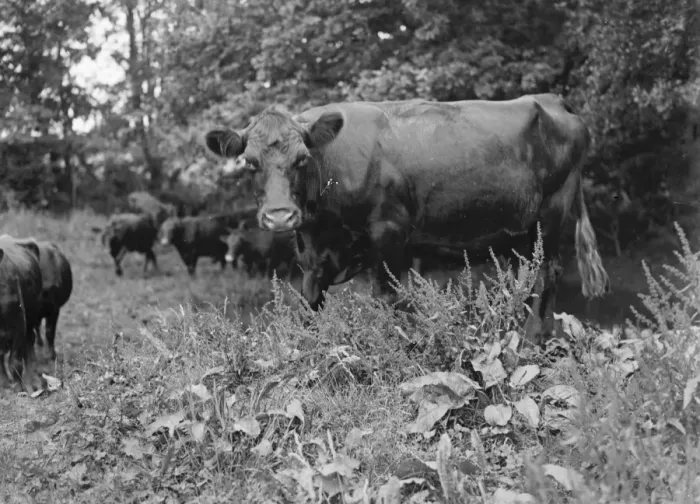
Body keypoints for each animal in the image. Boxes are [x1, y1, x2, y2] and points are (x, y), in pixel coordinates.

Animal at [0, 236, 43, 393]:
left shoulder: (19, 324)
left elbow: (15, 361)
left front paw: (19, 388)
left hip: (31, 316)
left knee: (29, 342)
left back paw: (33, 381)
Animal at [204, 94, 610, 344]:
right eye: (249, 162)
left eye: (302, 158)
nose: (280, 215)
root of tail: (551, 99)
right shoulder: (313, 255)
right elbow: (310, 303)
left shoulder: (388, 232)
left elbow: (390, 296)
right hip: (518, 228)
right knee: (525, 272)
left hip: (553, 209)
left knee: (549, 269)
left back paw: (533, 336)